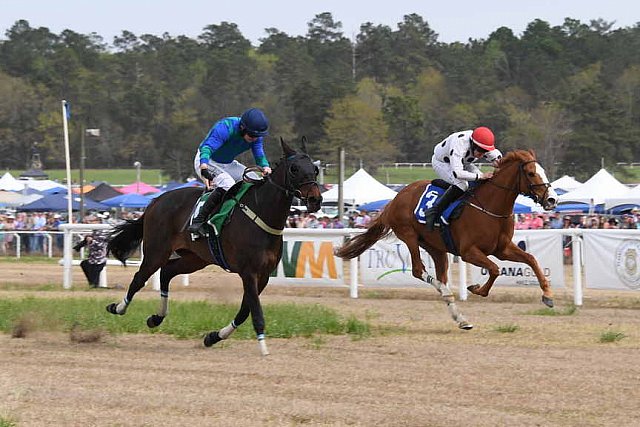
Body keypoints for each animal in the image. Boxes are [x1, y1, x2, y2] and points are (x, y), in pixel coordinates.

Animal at [108, 139, 324, 356]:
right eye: (294, 168)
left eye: (315, 168)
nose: (315, 199)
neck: (261, 213)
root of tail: (155, 200)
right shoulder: (248, 272)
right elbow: (255, 310)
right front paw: (263, 347)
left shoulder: (263, 275)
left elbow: (245, 310)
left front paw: (213, 337)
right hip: (157, 251)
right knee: (139, 278)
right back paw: (118, 308)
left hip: (195, 258)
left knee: (167, 272)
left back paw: (156, 318)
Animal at [338, 149, 556, 330]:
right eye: (531, 173)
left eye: (543, 171)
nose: (552, 199)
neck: (490, 206)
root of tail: (395, 199)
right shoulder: (469, 252)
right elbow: (494, 269)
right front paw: (476, 289)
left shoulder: (502, 249)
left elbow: (531, 259)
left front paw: (547, 295)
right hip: (409, 235)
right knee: (419, 271)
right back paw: (446, 293)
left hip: (436, 248)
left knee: (440, 276)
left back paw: (461, 318)